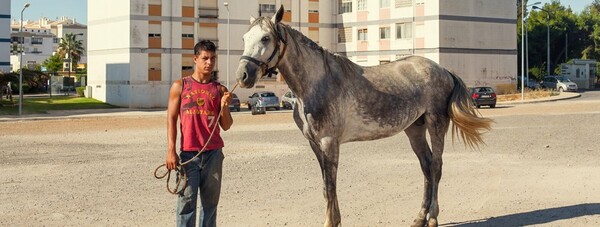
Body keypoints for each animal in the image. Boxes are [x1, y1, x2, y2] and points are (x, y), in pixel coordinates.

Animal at [234, 5, 492, 227]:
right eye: (245, 38)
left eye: (265, 38)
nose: (243, 75)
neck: (316, 82)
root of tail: (443, 70)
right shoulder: (315, 144)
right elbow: (326, 187)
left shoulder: (329, 142)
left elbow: (330, 186)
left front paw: (330, 222)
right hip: (414, 128)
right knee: (426, 167)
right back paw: (419, 217)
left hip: (436, 123)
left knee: (436, 166)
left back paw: (433, 218)